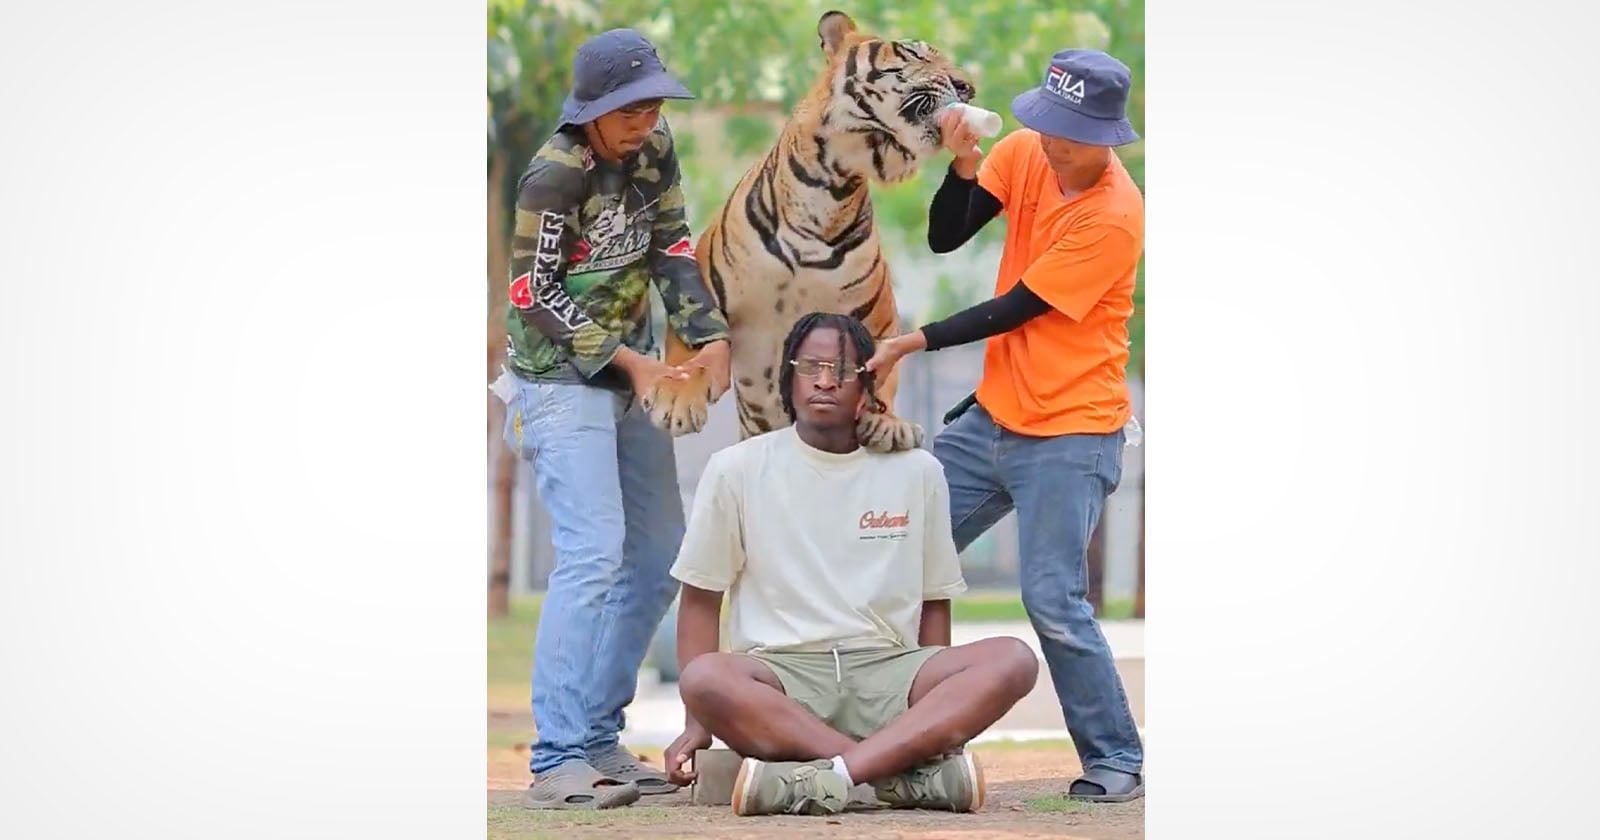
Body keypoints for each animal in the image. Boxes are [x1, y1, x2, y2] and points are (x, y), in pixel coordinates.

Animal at [642, 9, 977, 452]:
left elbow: (883, 373)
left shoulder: (880, 320)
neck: (830, 188)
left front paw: (888, 422)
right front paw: (676, 399)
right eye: (914, 53)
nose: (969, 88)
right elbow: (693, 350)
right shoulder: (704, 290)